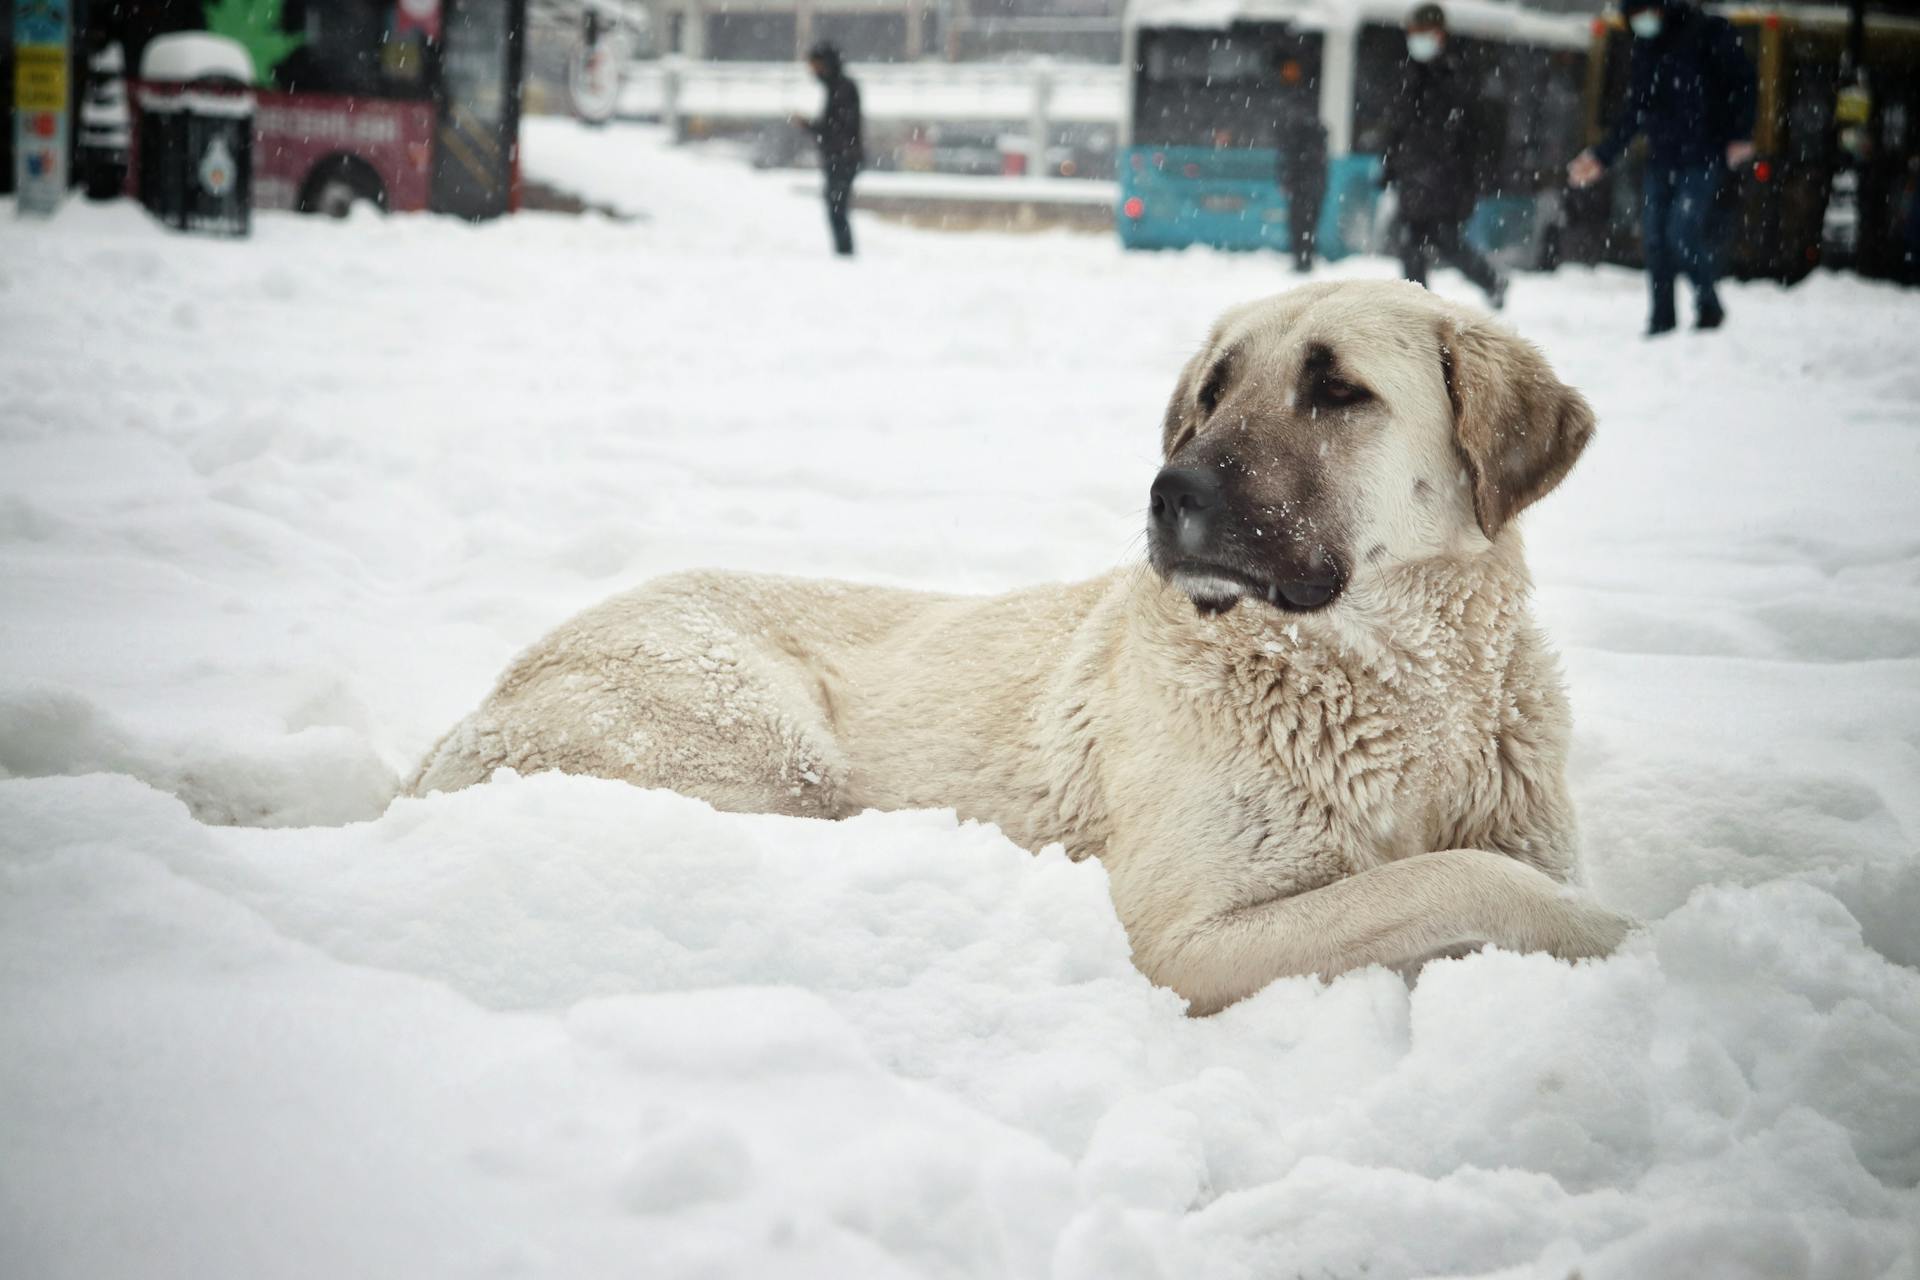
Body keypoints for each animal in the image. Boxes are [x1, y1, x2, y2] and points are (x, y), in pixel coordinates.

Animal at [416, 280, 1635, 1013]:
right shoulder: (1186, 936)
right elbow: (1461, 877)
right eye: (1212, 392)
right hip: (767, 750)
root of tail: (467, 715)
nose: (1168, 492)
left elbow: (1470, 868)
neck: (1400, 688)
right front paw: (1623, 935)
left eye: (1338, 390)